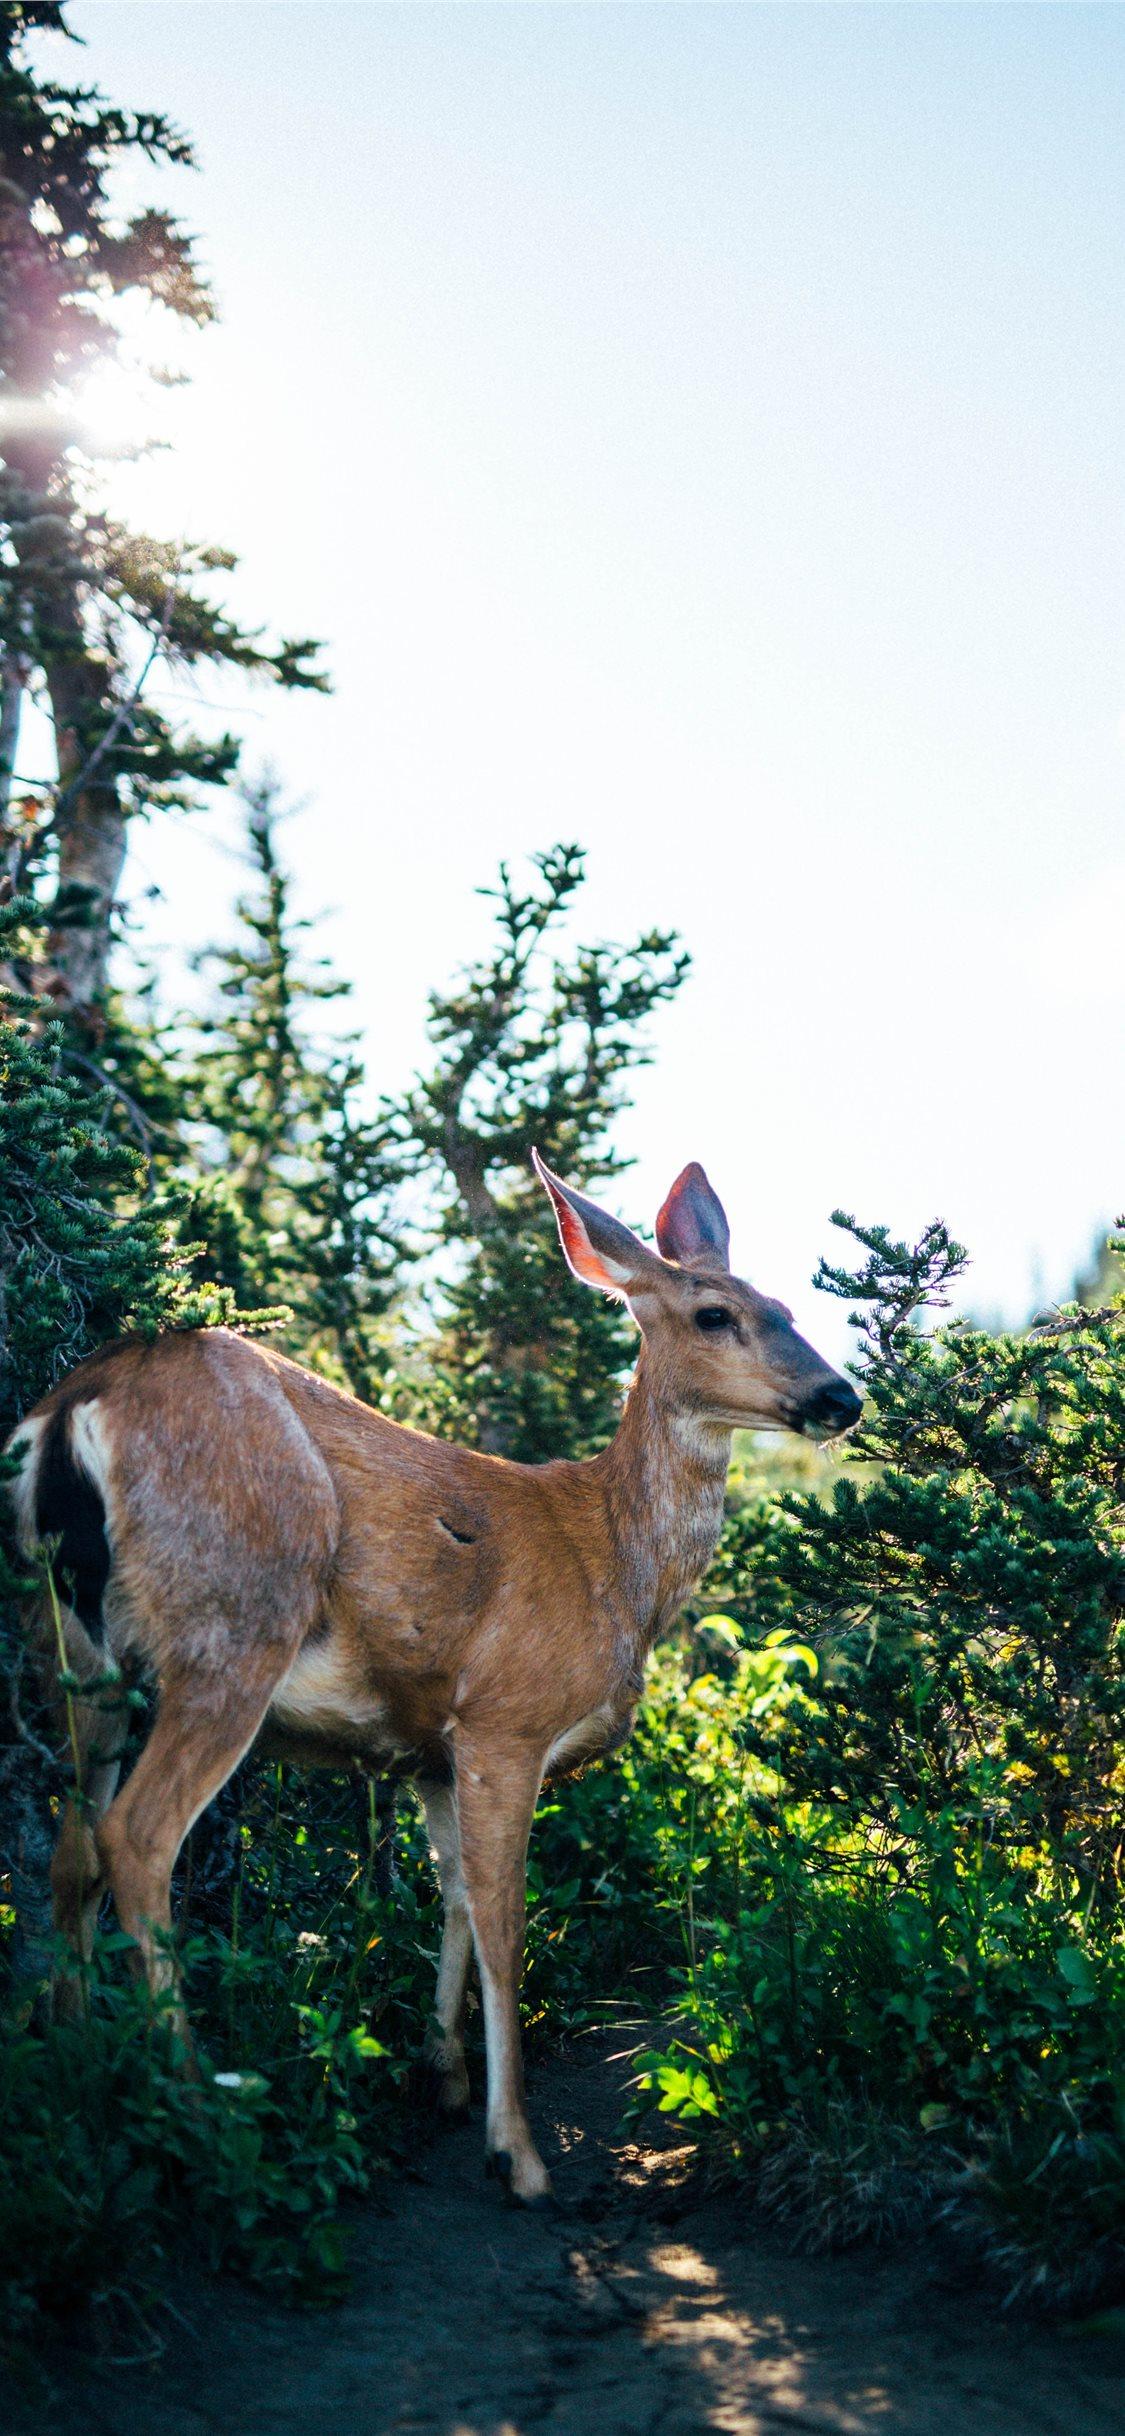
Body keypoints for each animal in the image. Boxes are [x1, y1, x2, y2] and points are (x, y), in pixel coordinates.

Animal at [5, 1154, 860, 2205]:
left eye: (786, 1306)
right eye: (714, 1315)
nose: (841, 1398)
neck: (611, 1559)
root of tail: (72, 1407)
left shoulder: (430, 1752)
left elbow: (450, 1894)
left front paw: (442, 2076)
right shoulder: (506, 1717)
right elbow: (504, 1920)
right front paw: (516, 2149)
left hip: (75, 1653)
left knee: (70, 1847)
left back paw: (82, 2061)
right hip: (235, 1619)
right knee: (136, 1836)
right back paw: (200, 2113)